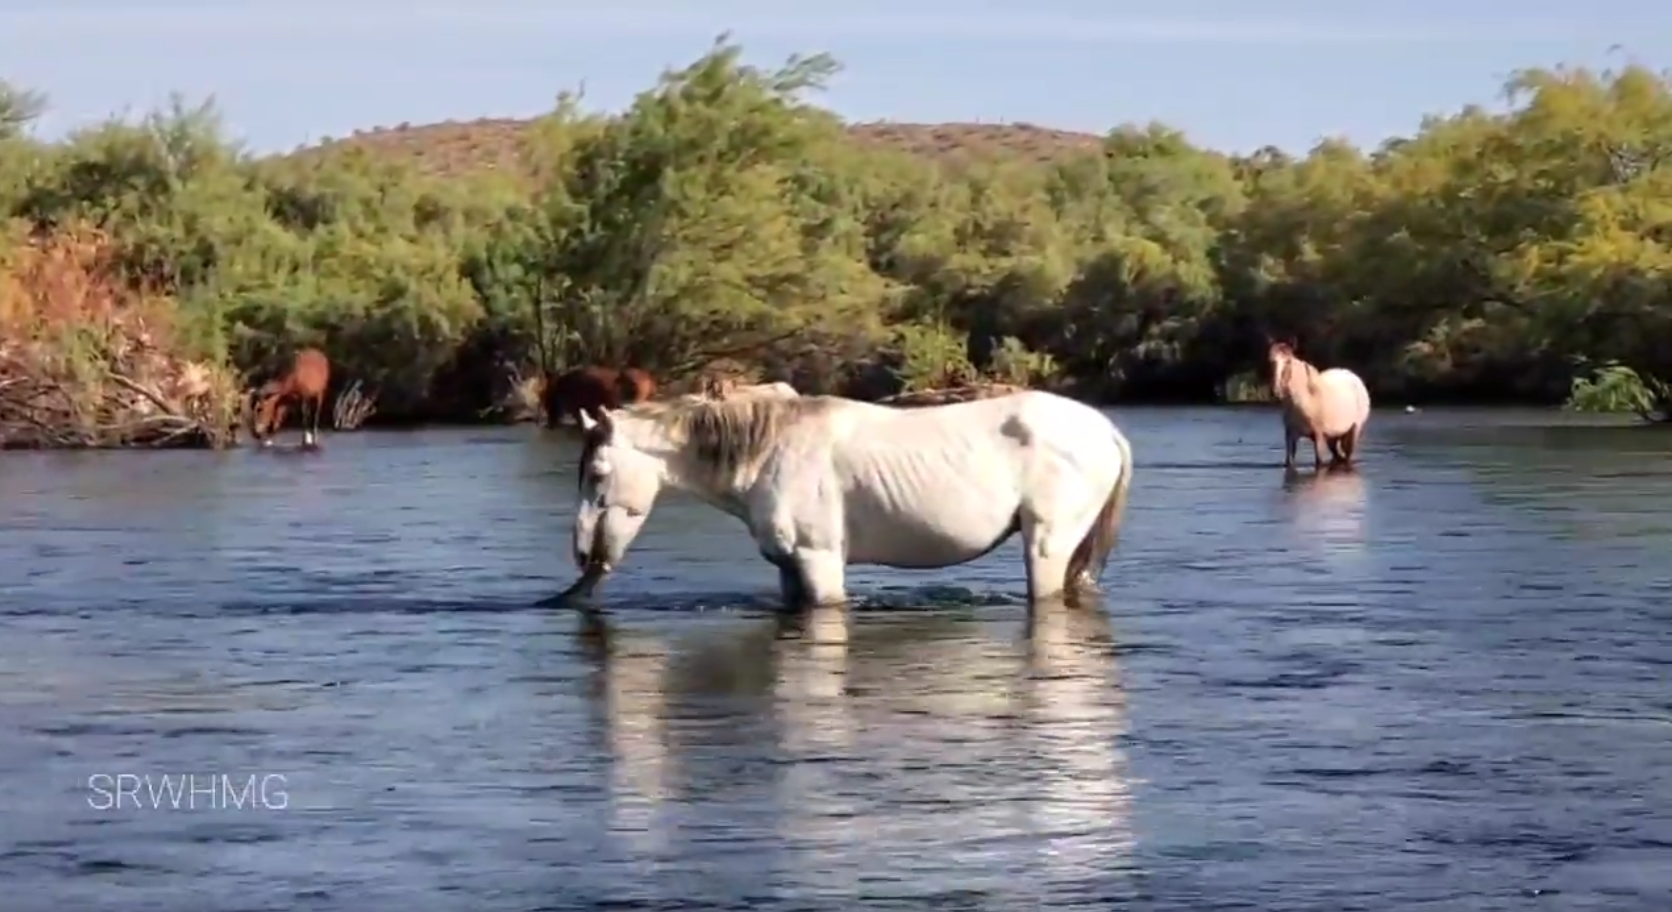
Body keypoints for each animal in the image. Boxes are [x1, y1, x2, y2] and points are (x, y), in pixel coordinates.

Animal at [565, 389, 1136, 609]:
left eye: (598, 473)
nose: (583, 556)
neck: (769, 453)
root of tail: (1106, 430)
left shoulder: (820, 561)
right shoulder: (789, 567)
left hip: (1047, 544)